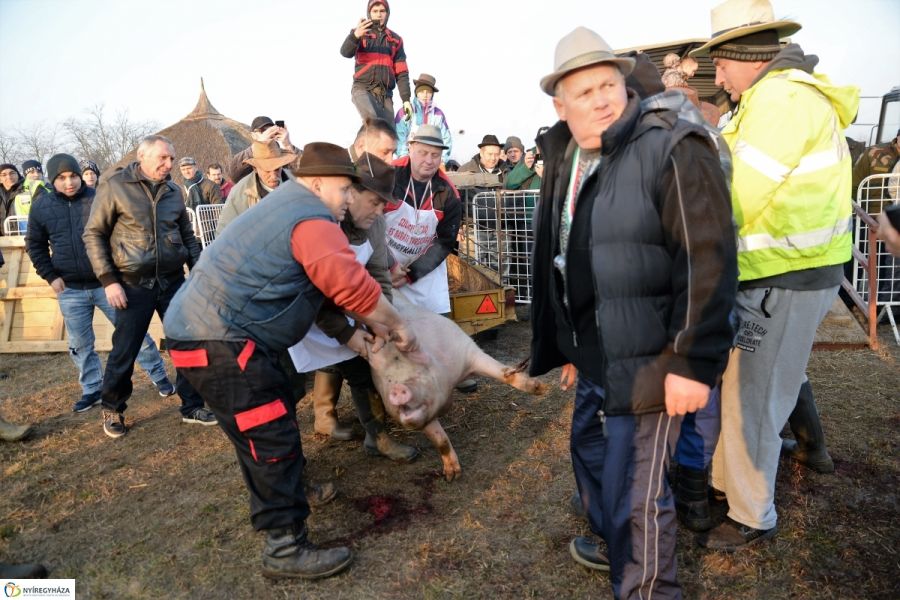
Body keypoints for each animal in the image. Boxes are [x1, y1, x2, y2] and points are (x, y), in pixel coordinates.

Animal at [362, 292, 544, 482]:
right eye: (388, 380)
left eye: (418, 374)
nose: (397, 389)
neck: (448, 385)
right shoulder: (425, 415)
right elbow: (440, 440)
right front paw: (451, 476)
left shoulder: (467, 350)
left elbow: (500, 372)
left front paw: (541, 389)